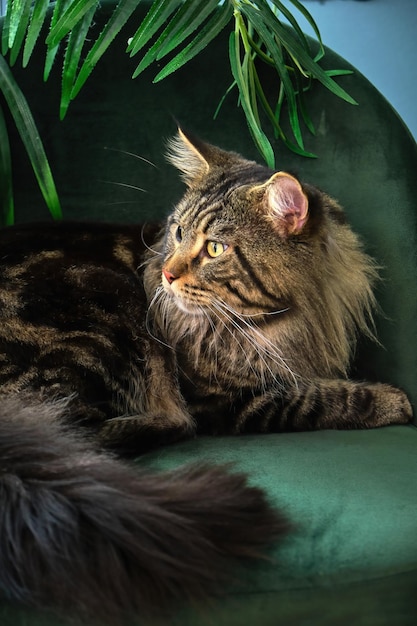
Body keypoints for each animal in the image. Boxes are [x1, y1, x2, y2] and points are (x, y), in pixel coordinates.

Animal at [0, 129, 410, 620]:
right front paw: (393, 400)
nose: (164, 273)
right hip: (101, 311)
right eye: (177, 233)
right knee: (81, 435)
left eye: (215, 248)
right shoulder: (226, 400)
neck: (280, 323)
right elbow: (321, 397)